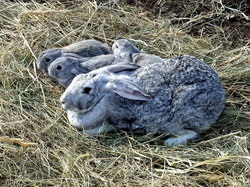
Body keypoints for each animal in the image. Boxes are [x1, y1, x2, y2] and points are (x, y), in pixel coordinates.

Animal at [59, 54, 226, 146]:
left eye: (87, 90)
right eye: (76, 78)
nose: (63, 101)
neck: (105, 96)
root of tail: (219, 94)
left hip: (175, 121)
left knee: (192, 133)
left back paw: (171, 142)